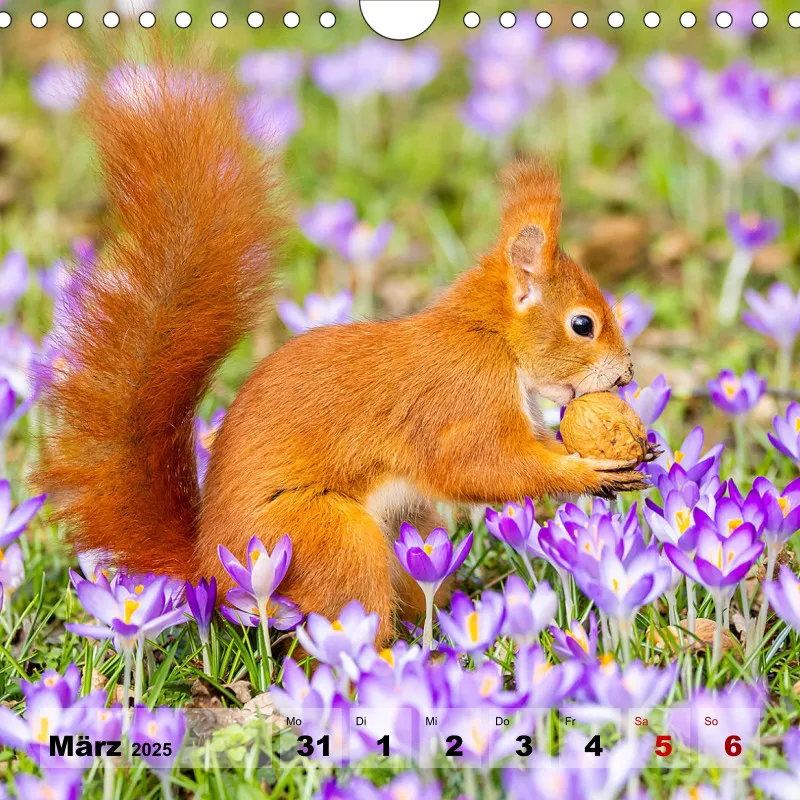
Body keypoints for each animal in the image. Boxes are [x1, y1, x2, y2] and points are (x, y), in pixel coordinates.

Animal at [37, 58, 648, 648]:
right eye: (583, 325)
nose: (626, 374)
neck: (490, 338)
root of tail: (208, 566)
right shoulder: (462, 397)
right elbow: (480, 466)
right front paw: (590, 471)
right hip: (327, 539)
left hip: (409, 525)